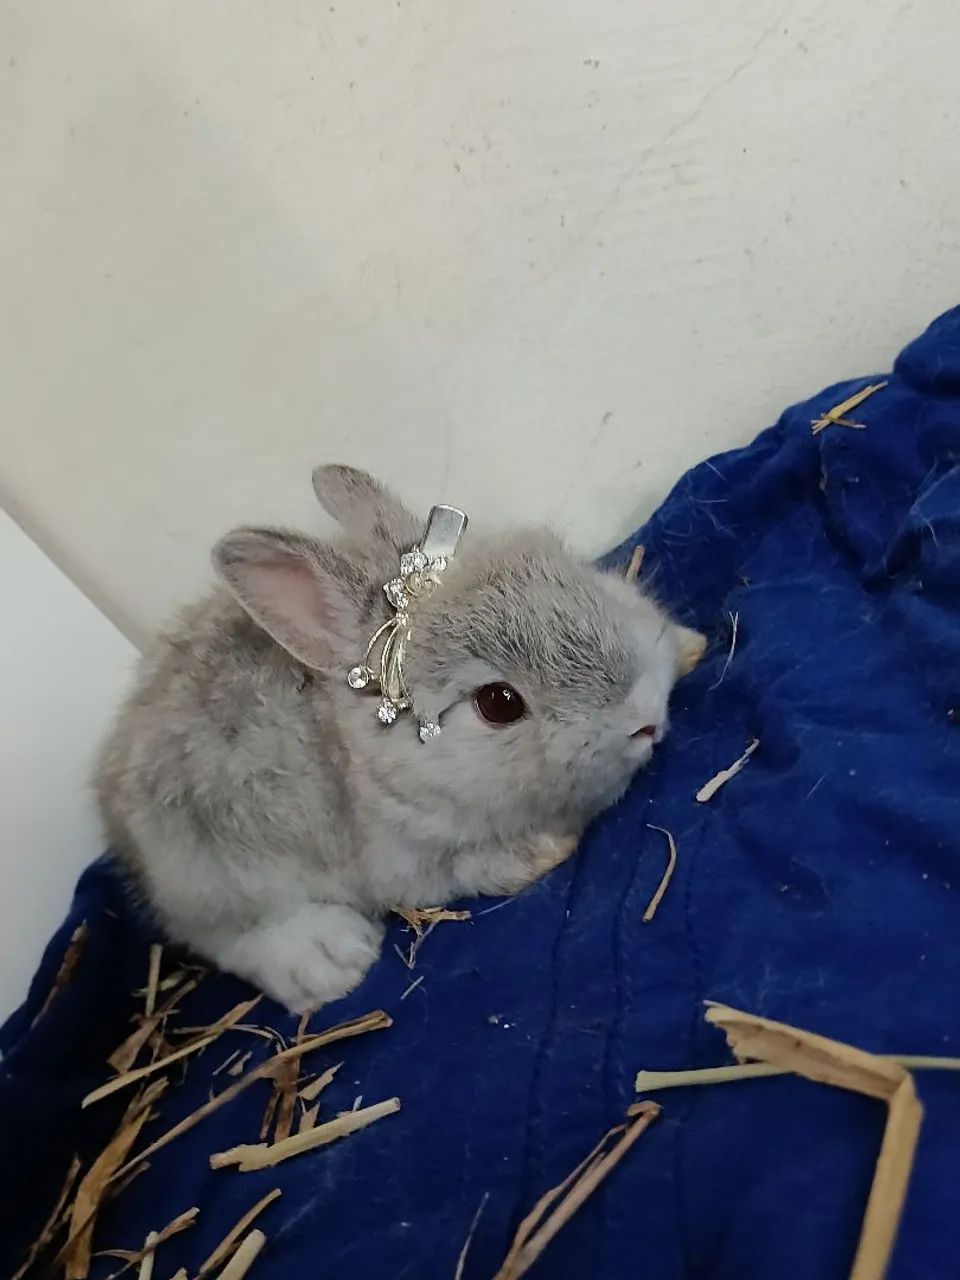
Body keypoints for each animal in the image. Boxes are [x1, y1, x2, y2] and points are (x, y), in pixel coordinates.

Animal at [96, 466, 706, 1013]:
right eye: (499, 704)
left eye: (568, 571)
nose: (645, 713)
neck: (363, 754)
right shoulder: (413, 863)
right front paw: (551, 847)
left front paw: (691, 646)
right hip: (212, 877)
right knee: (227, 936)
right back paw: (332, 958)